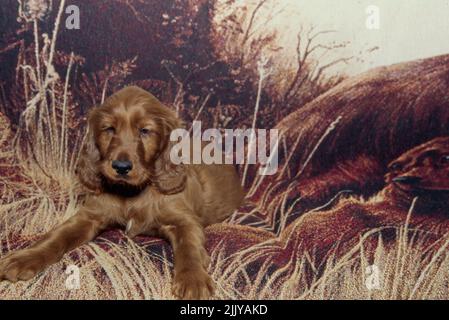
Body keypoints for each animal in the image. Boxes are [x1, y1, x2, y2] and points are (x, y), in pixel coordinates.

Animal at [0, 85, 243, 300]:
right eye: (109, 129)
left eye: (145, 131)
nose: (121, 167)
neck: (132, 193)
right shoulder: (89, 216)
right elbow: (57, 235)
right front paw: (24, 258)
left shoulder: (184, 220)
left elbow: (189, 246)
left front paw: (193, 279)